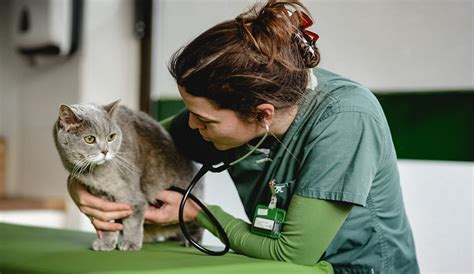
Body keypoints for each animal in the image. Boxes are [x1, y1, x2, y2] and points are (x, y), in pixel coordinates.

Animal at [53, 100, 202, 250]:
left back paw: (190, 240)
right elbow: (107, 224)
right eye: (89, 139)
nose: (105, 151)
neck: (96, 175)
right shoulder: (102, 199)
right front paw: (106, 243)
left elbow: (132, 223)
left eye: (111, 137)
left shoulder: (131, 196)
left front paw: (131, 243)